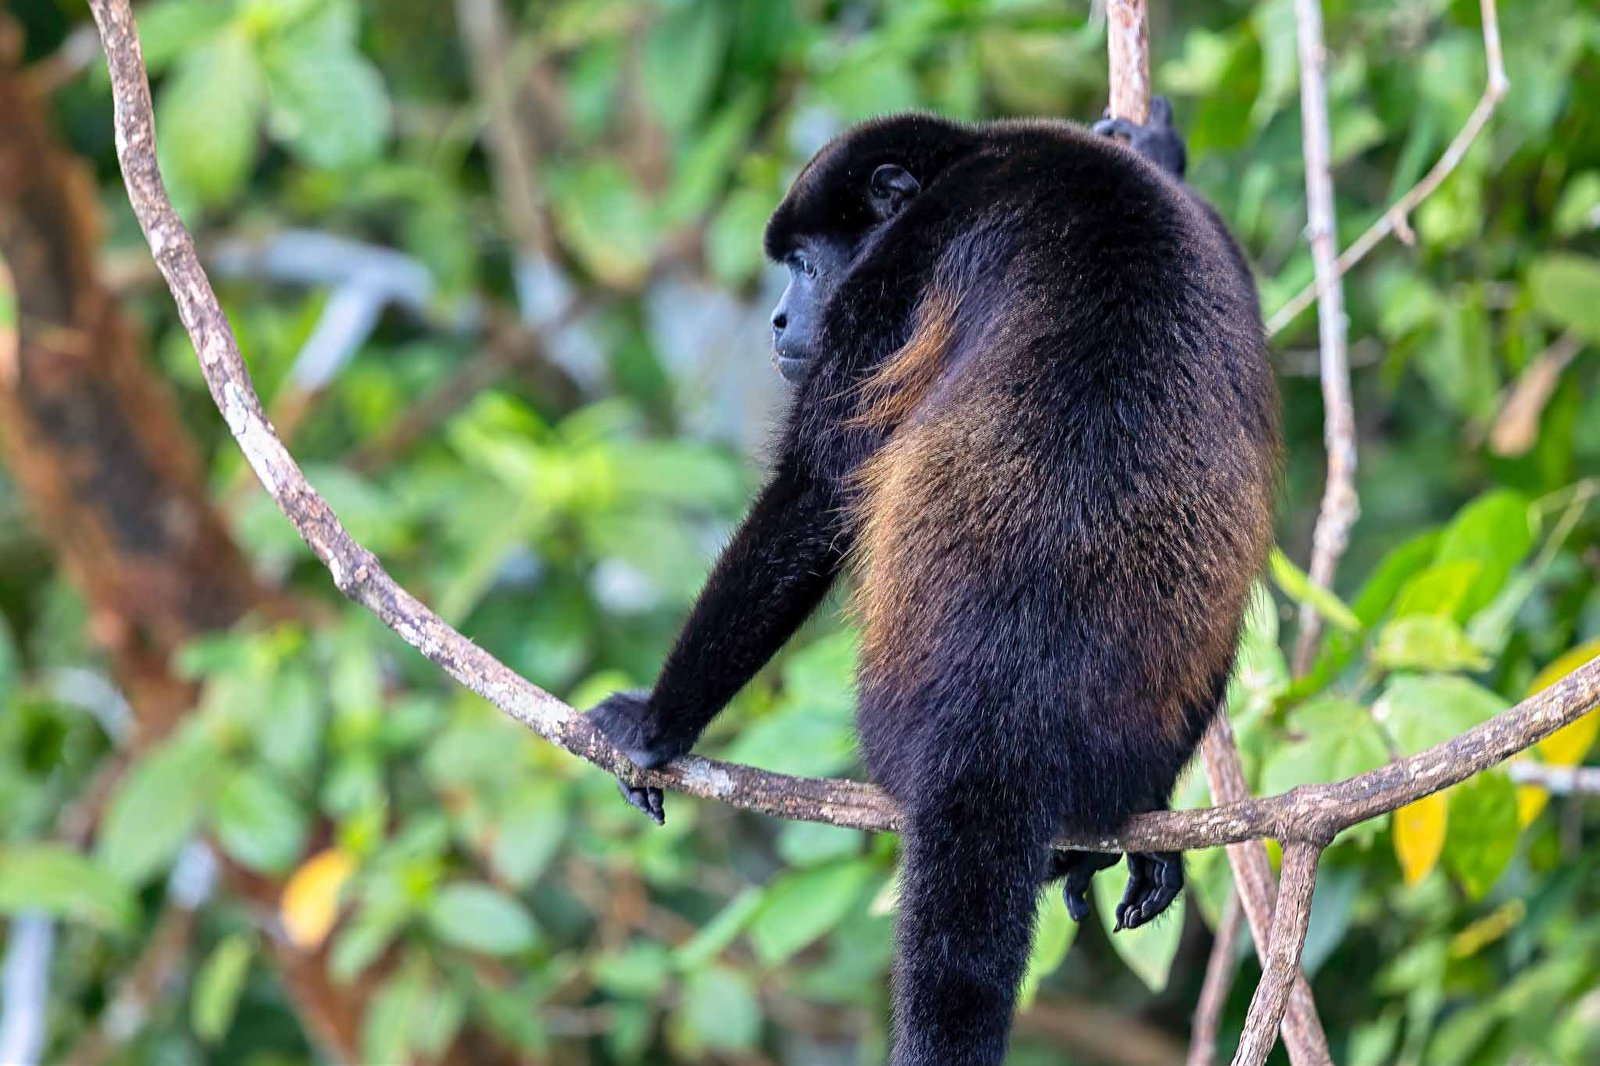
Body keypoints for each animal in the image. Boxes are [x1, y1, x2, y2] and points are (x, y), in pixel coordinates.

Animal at [588, 99, 1278, 1065]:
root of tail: (1004, 718)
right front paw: (1154, 146)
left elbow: (816, 487)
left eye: (806, 264)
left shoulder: (897, 268)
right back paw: (1128, 828)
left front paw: (655, 725)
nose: (777, 319)